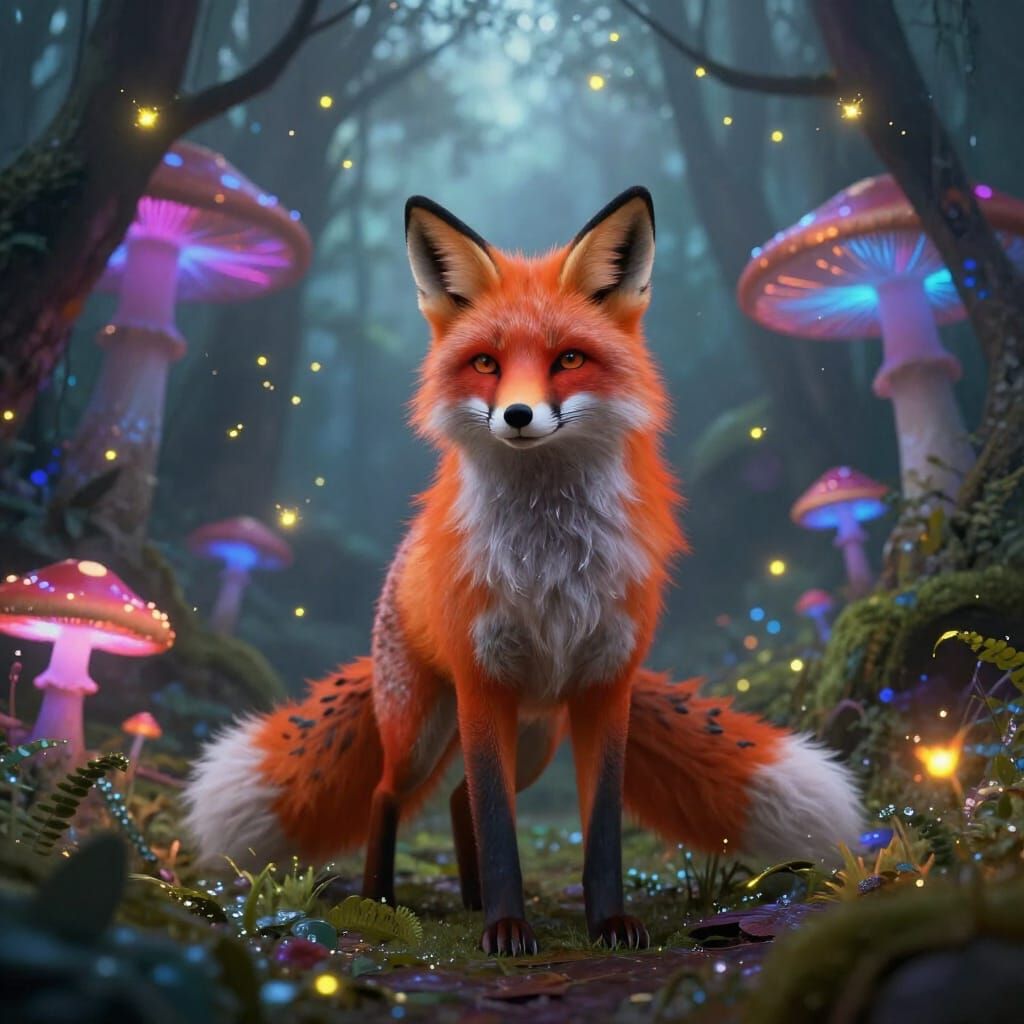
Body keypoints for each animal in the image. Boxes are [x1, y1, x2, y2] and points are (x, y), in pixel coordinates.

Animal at [185, 187, 861, 955]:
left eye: (569, 358)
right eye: (486, 363)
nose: (516, 414)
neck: (551, 564)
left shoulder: (605, 687)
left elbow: (596, 826)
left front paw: (608, 923)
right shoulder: (484, 685)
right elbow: (499, 821)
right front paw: (508, 929)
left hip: (538, 734)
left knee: (456, 799)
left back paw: (472, 898)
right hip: (424, 728)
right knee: (392, 793)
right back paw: (383, 898)